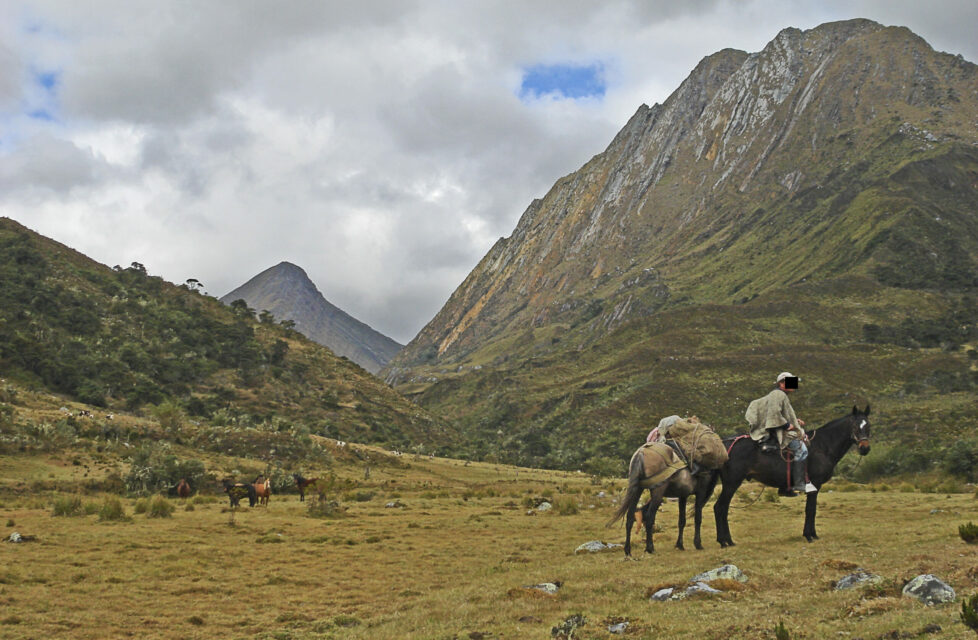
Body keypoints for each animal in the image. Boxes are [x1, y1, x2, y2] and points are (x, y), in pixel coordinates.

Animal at [708, 408, 868, 548]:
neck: (823, 446)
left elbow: (812, 509)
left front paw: (812, 534)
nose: (865, 448)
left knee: (723, 508)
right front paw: (809, 535)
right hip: (732, 483)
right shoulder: (814, 484)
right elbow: (810, 509)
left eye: (868, 425)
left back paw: (727, 541)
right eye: (855, 426)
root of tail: (724, 444)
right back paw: (725, 541)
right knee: (720, 507)